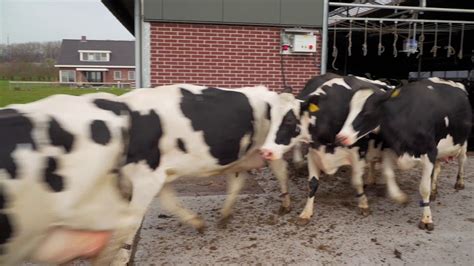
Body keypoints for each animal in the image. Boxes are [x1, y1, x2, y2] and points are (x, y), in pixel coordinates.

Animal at [260, 74, 392, 224]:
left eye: (289, 120)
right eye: (271, 118)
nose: (266, 151)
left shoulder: (358, 149)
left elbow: (357, 179)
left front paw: (363, 204)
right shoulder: (314, 150)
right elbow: (312, 183)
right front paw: (306, 212)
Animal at [336, 77, 472, 231]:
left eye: (367, 112)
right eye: (349, 110)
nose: (341, 137)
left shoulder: (430, 152)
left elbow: (423, 188)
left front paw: (426, 219)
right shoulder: (390, 149)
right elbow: (388, 174)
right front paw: (400, 197)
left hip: (463, 142)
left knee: (462, 160)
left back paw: (459, 183)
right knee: (438, 168)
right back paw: (434, 191)